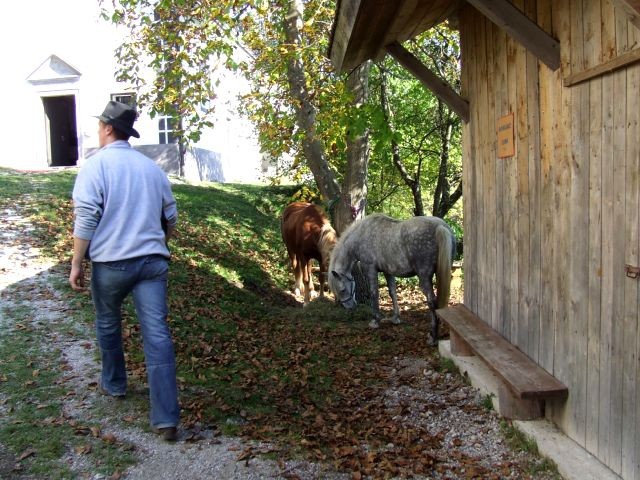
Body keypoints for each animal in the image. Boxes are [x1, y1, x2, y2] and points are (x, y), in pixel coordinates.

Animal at [330, 214, 456, 344]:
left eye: (342, 290)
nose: (350, 307)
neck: (361, 235)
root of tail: (440, 226)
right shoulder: (388, 272)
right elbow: (393, 293)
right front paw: (396, 318)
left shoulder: (370, 269)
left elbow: (374, 293)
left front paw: (375, 320)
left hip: (424, 278)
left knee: (432, 302)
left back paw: (432, 337)